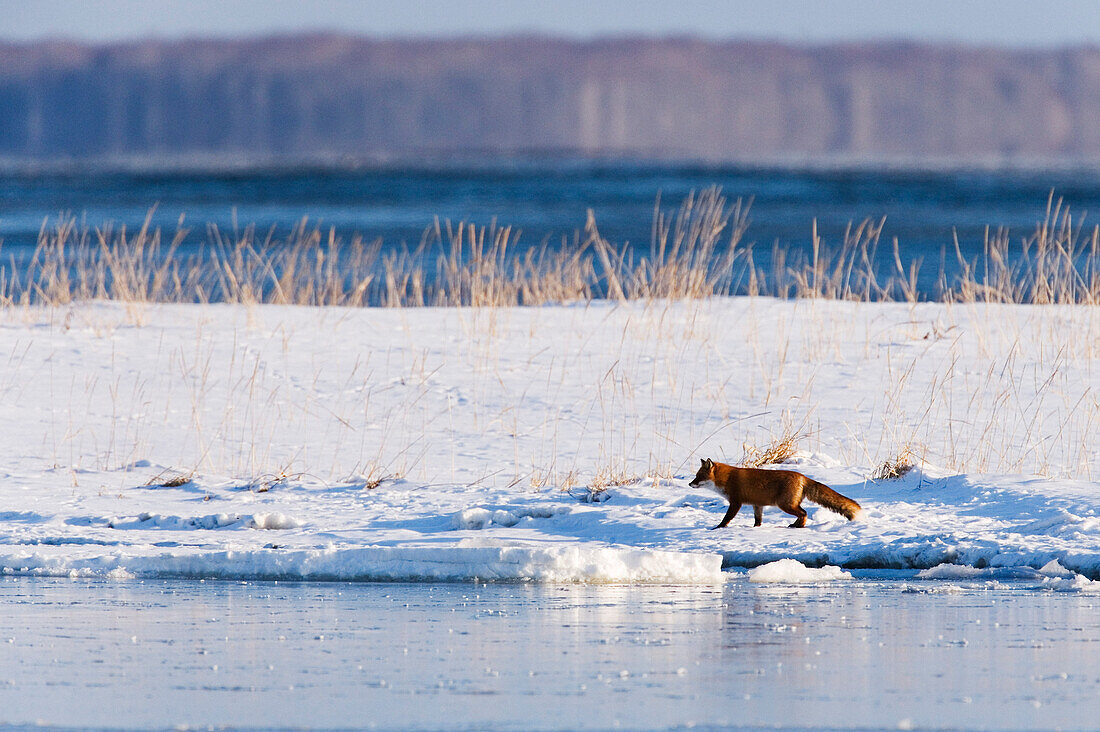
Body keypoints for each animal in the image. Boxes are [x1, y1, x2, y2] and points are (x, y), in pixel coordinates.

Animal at [686, 457, 858, 526]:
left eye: (699, 476)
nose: (689, 484)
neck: (727, 479)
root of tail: (802, 476)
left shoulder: (736, 502)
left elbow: (726, 518)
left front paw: (718, 528)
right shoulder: (757, 505)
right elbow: (758, 521)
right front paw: (756, 529)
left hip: (785, 505)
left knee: (804, 513)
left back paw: (798, 526)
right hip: (789, 505)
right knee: (803, 513)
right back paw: (795, 525)